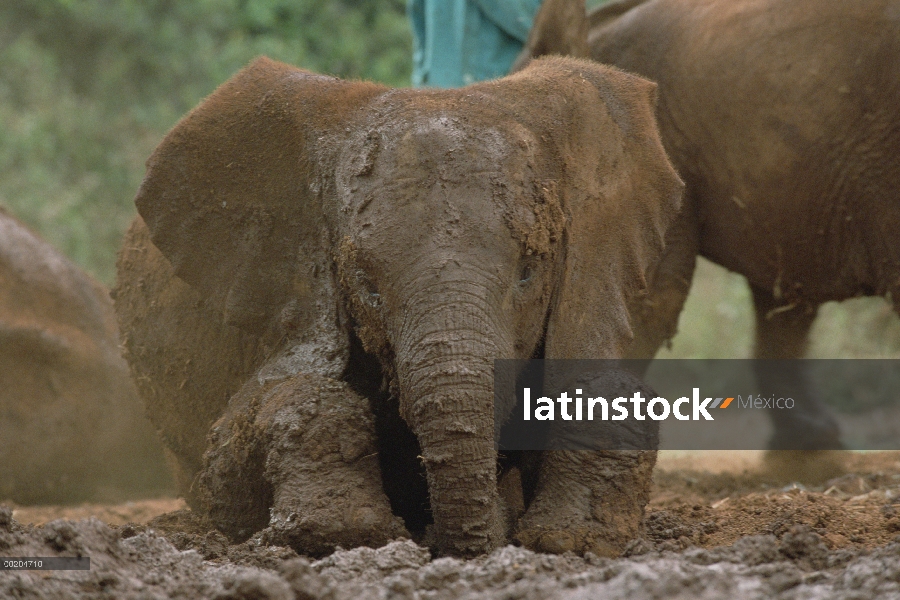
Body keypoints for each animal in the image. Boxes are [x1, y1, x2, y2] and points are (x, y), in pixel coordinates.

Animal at [114, 55, 684, 556]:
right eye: (365, 285)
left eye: (528, 272)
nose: (474, 538)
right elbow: (235, 453)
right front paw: (339, 532)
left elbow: (600, 391)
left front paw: (569, 540)